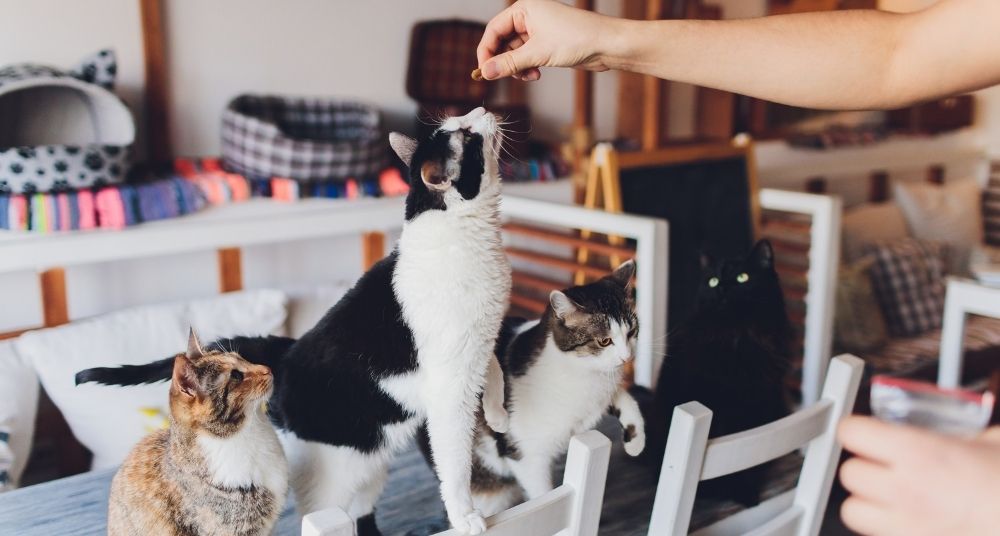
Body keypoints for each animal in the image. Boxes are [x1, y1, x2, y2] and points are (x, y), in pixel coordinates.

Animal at [418, 262, 644, 516]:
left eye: (632, 331)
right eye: (604, 341)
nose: (627, 357)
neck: (579, 371)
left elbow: (625, 398)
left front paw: (636, 441)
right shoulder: (527, 455)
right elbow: (542, 495)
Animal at [644, 239, 792, 506]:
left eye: (743, 277)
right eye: (713, 281)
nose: (722, 288)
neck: (737, 336)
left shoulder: (758, 405)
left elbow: (748, 462)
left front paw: (746, 493)